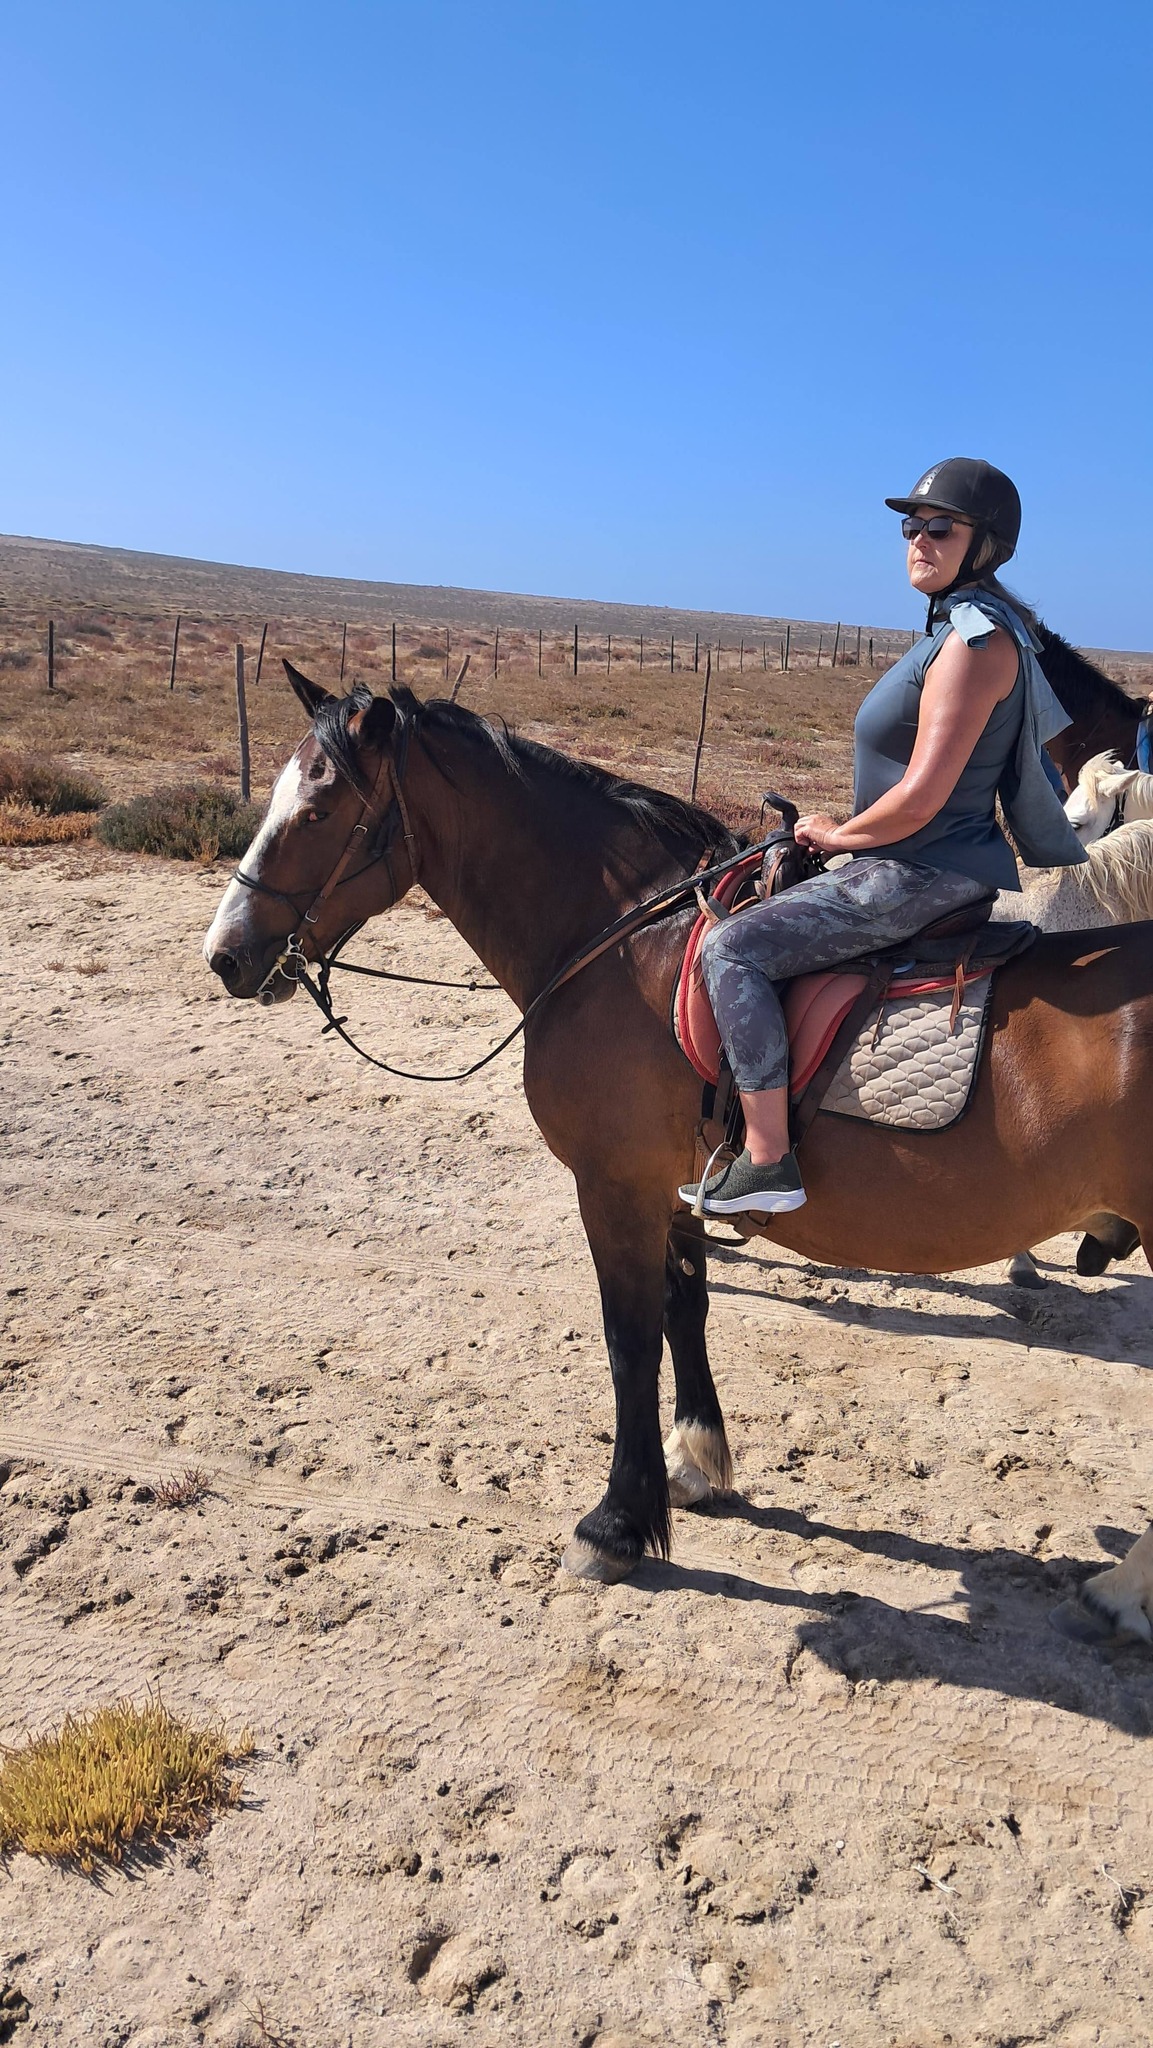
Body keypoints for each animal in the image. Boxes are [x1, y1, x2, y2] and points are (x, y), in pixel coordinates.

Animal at [204, 666, 1153, 1647]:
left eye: (317, 812)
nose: (226, 955)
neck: (624, 947)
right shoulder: (672, 1185)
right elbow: (684, 1311)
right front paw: (696, 1463)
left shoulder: (612, 1184)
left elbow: (629, 1343)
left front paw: (616, 1525)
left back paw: (1122, 1591)